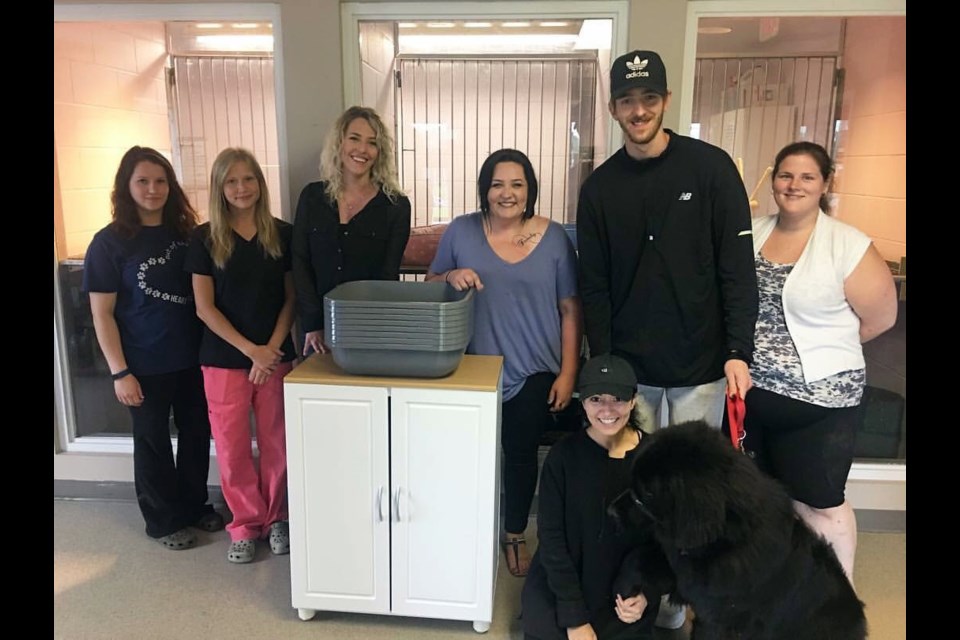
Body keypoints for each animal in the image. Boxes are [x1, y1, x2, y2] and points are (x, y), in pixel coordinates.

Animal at [616, 420, 872, 640]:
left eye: (646, 494)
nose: (611, 510)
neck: (721, 541)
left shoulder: (719, 617)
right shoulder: (685, 569)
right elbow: (638, 557)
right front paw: (624, 591)